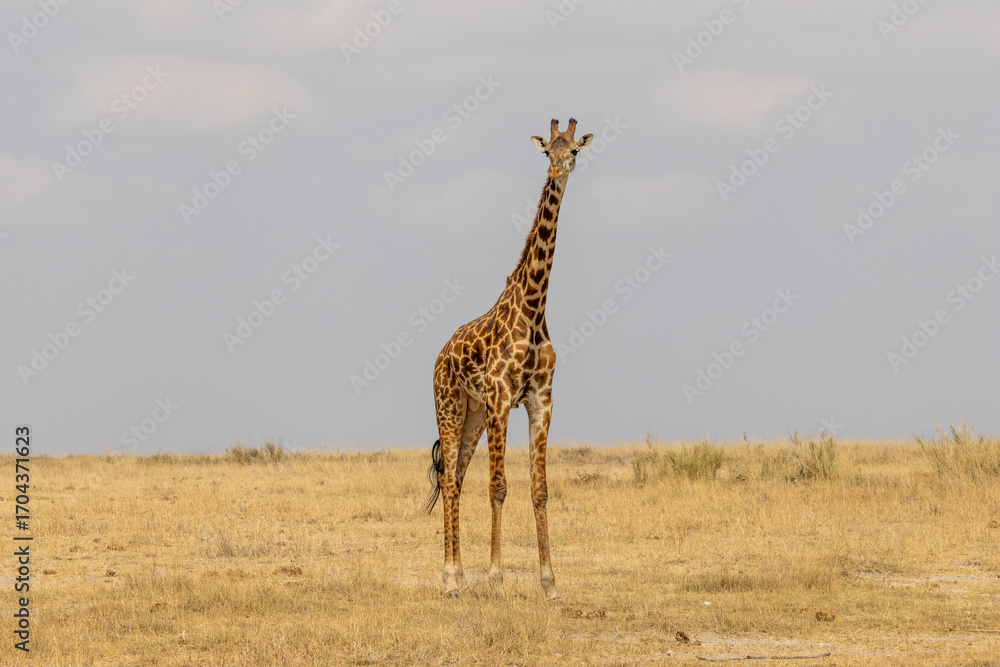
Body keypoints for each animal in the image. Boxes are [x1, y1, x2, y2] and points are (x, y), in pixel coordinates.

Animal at [425, 118, 594, 602]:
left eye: (575, 150)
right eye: (547, 151)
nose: (557, 171)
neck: (534, 310)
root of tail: (440, 355)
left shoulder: (540, 400)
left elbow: (540, 490)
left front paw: (550, 585)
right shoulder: (501, 399)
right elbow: (498, 486)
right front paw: (497, 579)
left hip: (472, 414)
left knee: (457, 478)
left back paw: (459, 577)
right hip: (450, 405)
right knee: (450, 479)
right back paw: (451, 579)